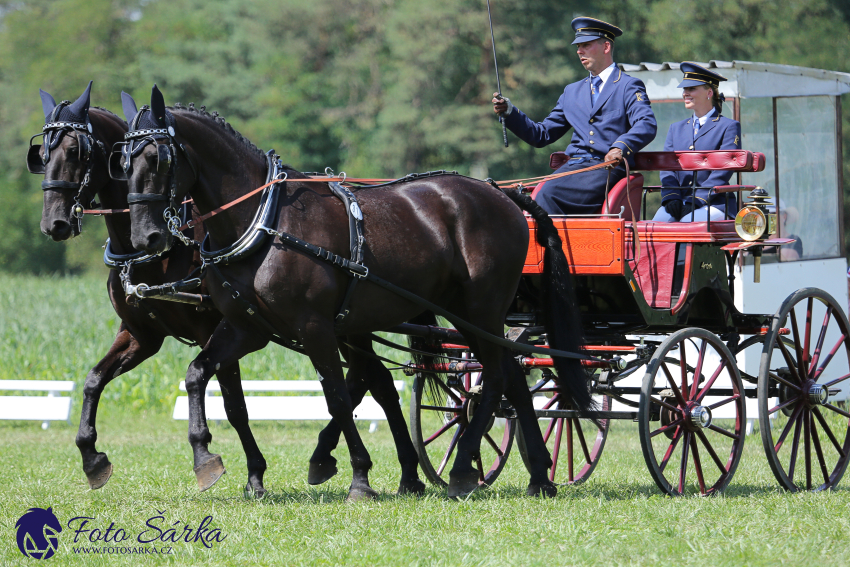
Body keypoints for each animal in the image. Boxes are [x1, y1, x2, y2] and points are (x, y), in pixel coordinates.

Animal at [34, 83, 268, 496]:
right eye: (42, 154)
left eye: (77, 151)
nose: (54, 223)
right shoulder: (141, 334)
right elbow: (93, 380)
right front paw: (92, 457)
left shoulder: (218, 330)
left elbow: (233, 405)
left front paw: (246, 471)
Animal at [122, 86, 588, 500]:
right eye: (121, 162)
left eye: (157, 156)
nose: (146, 238)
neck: (263, 221)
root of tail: (500, 193)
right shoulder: (245, 328)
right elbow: (198, 374)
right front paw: (205, 457)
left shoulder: (315, 328)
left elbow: (338, 399)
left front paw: (359, 478)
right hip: (470, 314)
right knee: (511, 373)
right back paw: (539, 477)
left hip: (479, 309)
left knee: (494, 375)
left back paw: (462, 471)